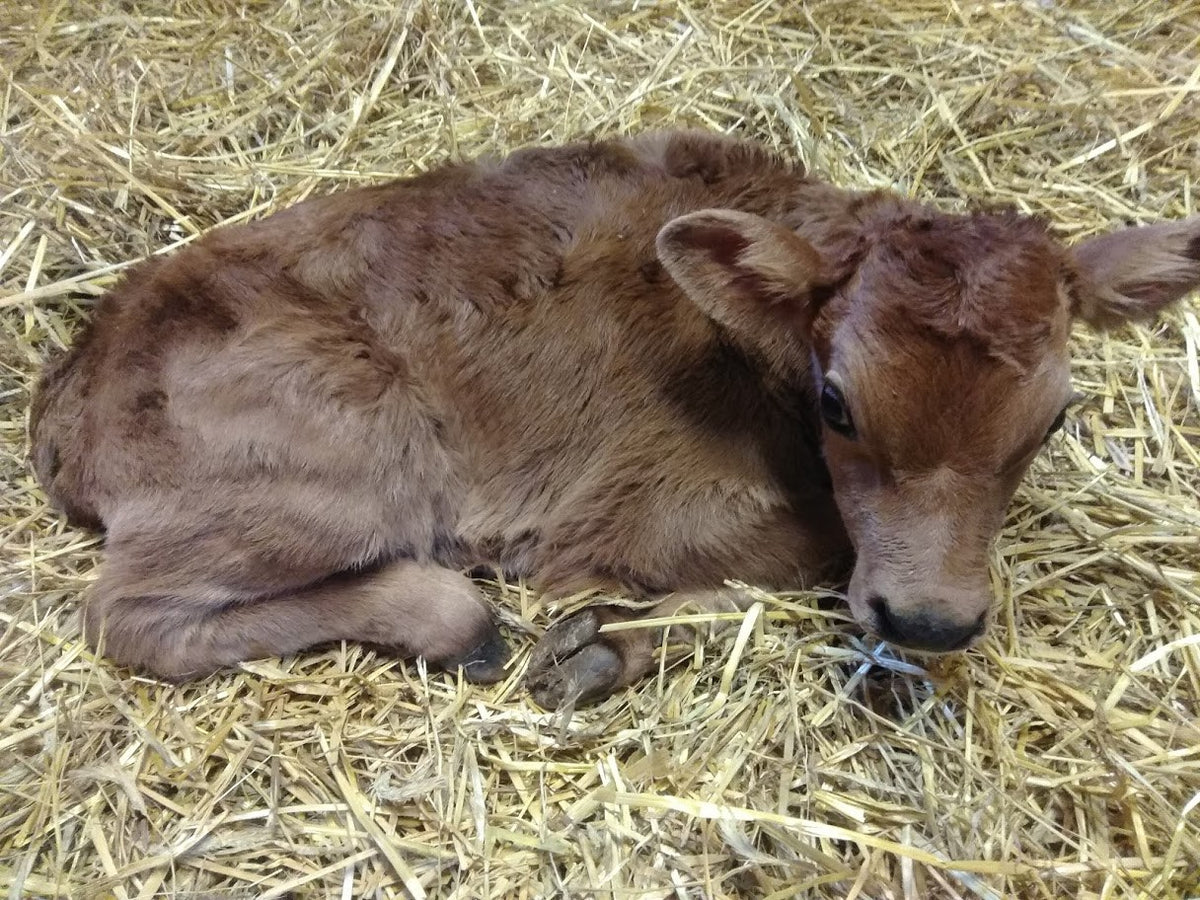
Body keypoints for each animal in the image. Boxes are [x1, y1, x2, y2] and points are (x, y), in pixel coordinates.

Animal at [30, 130, 1200, 708]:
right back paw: (453, 616)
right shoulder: (631, 519)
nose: (931, 621)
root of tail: (73, 385)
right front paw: (601, 645)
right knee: (129, 616)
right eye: (837, 401)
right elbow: (782, 570)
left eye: (1055, 419)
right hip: (337, 464)